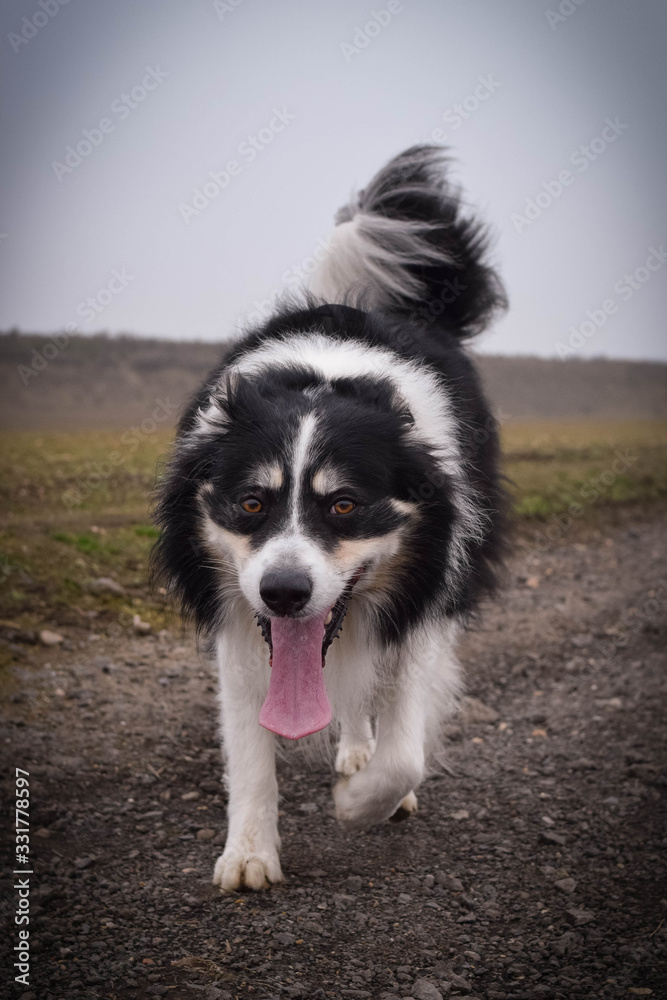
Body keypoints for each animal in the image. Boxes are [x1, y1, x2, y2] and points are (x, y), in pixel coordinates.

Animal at [154, 148, 508, 892]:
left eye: (344, 505)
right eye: (251, 503)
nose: (284, 594)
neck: (325, 378)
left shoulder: (428, 592)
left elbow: (404, 744)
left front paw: (360, 801)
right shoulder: (237, 617)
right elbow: (248, 738)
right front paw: (249, 854)